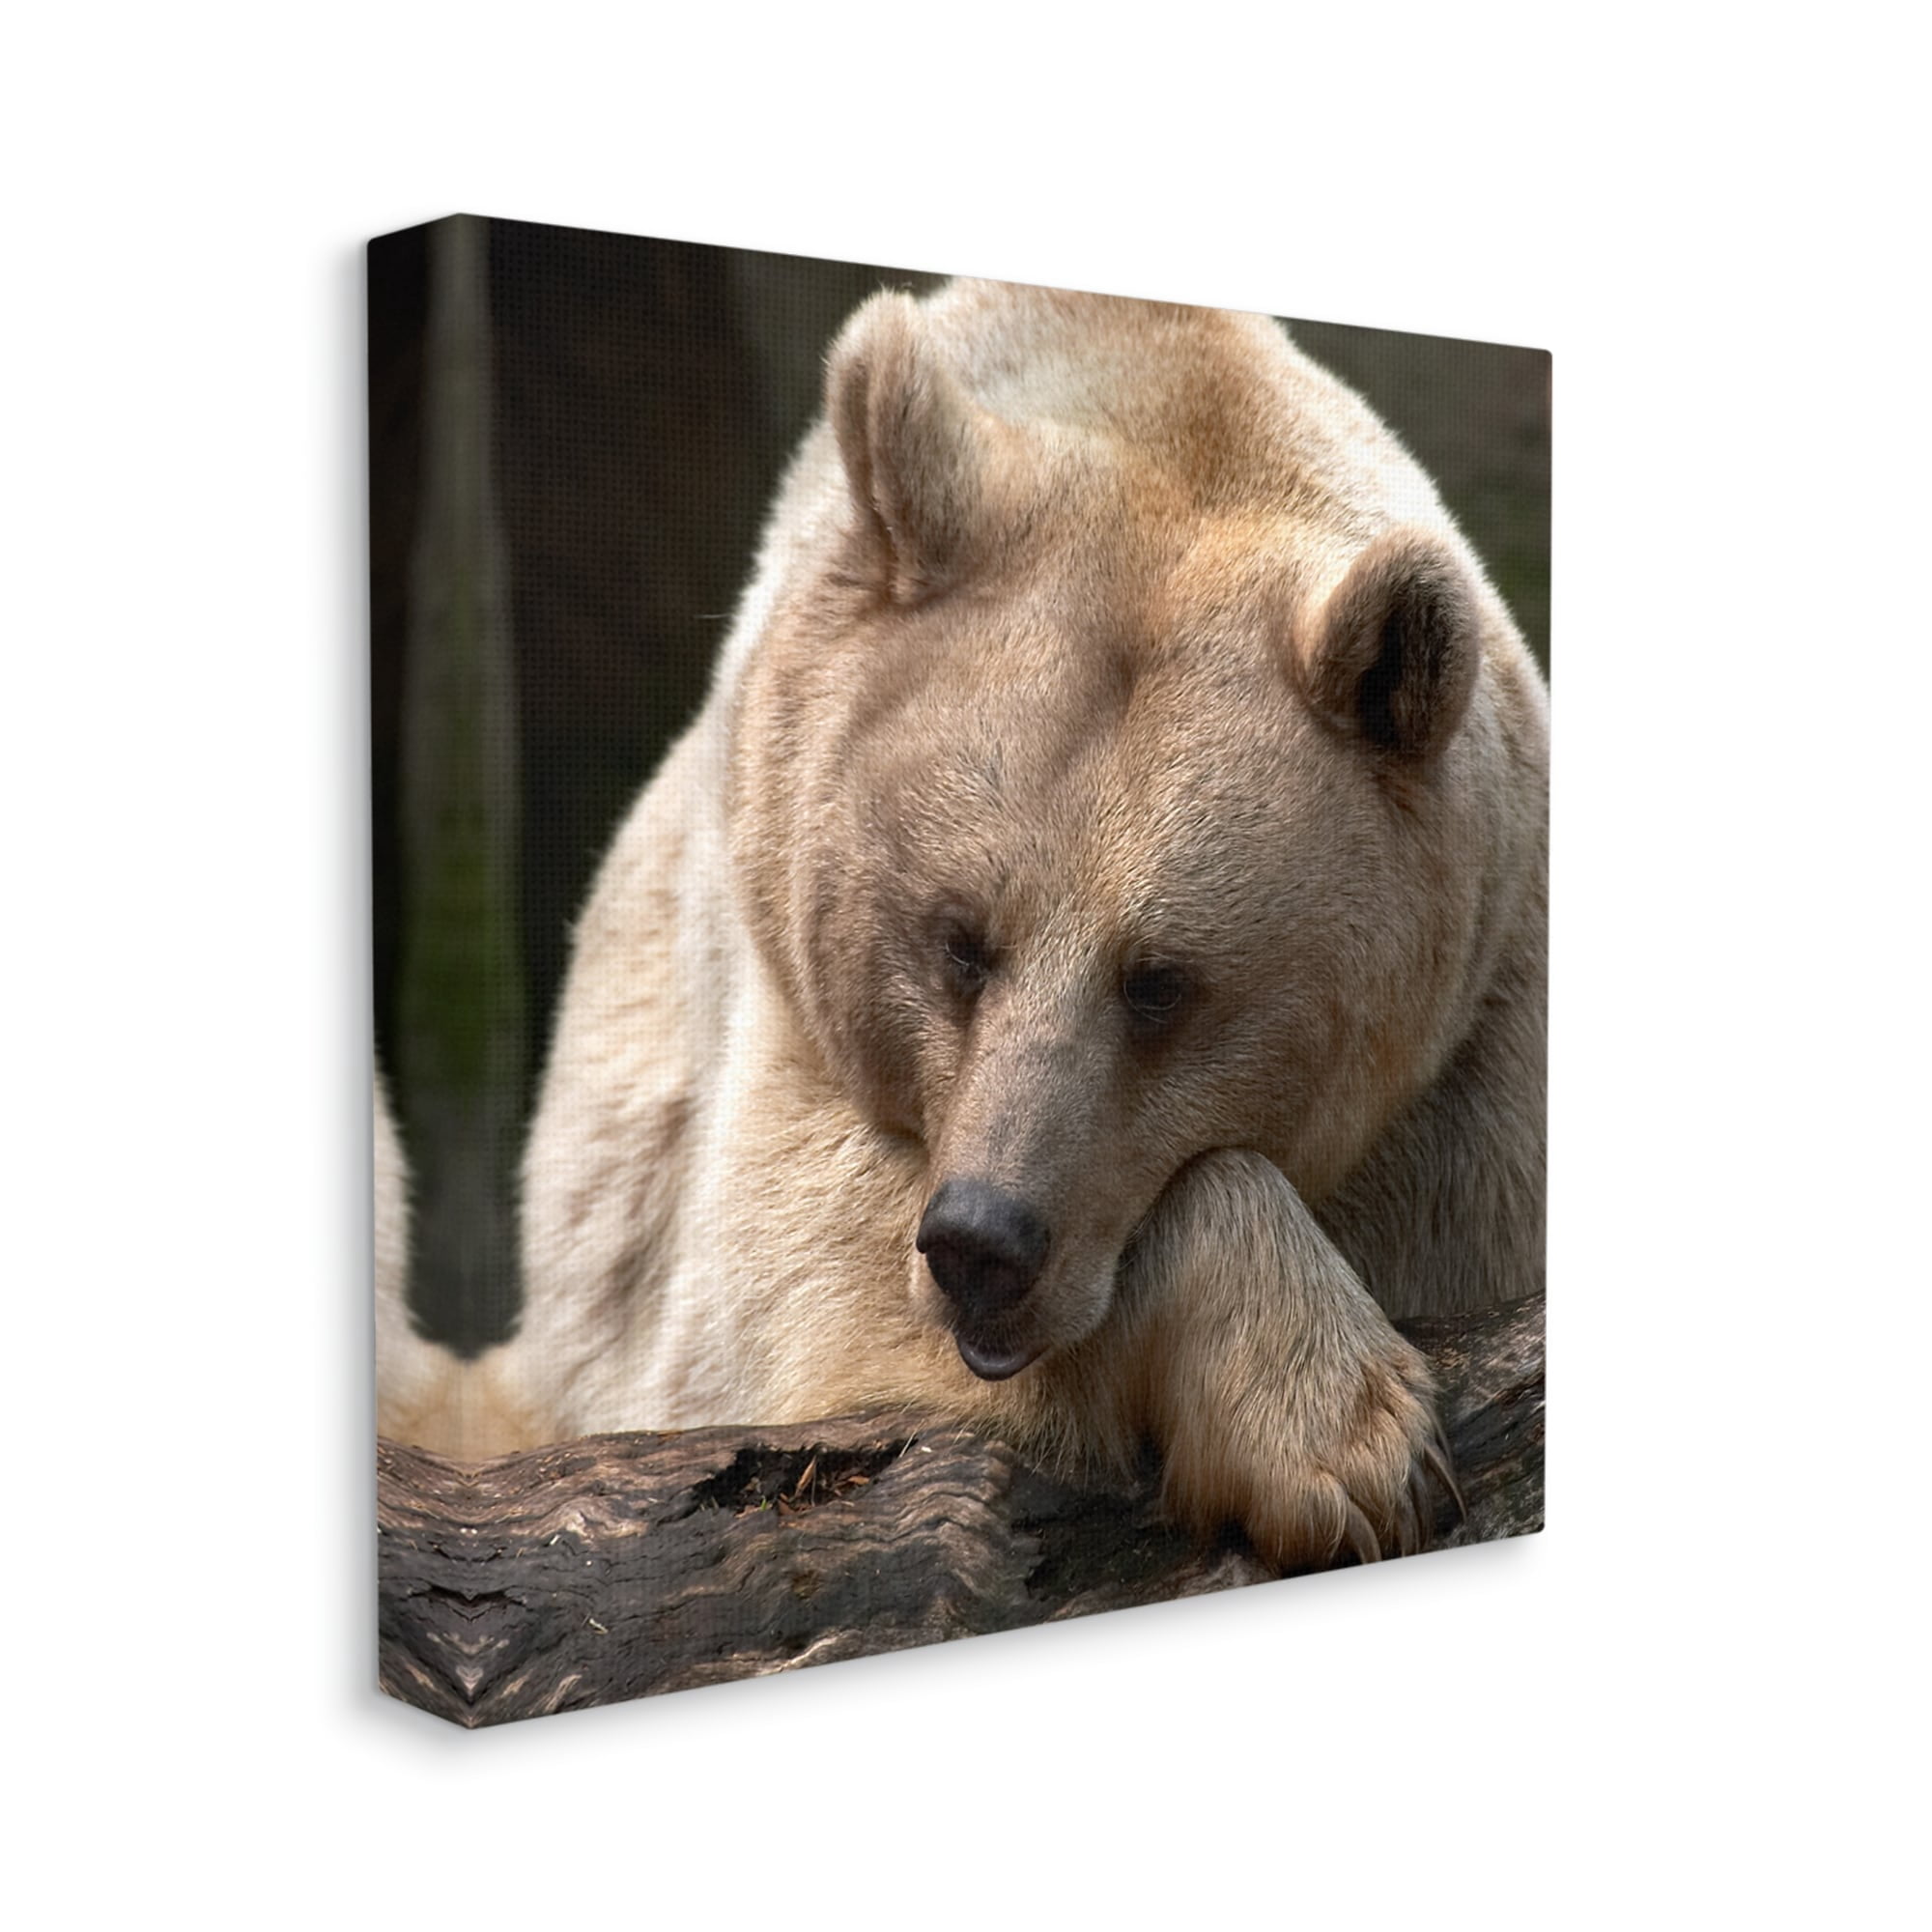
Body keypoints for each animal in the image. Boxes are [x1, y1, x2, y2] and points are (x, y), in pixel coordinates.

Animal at [498, 279, 1548, 1571]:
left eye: (1158, 978)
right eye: (958, 938)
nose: (981, 1246)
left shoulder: (1476, 1087)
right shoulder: (772, 1022)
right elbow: (807, 1320)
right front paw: (1337, 1436)